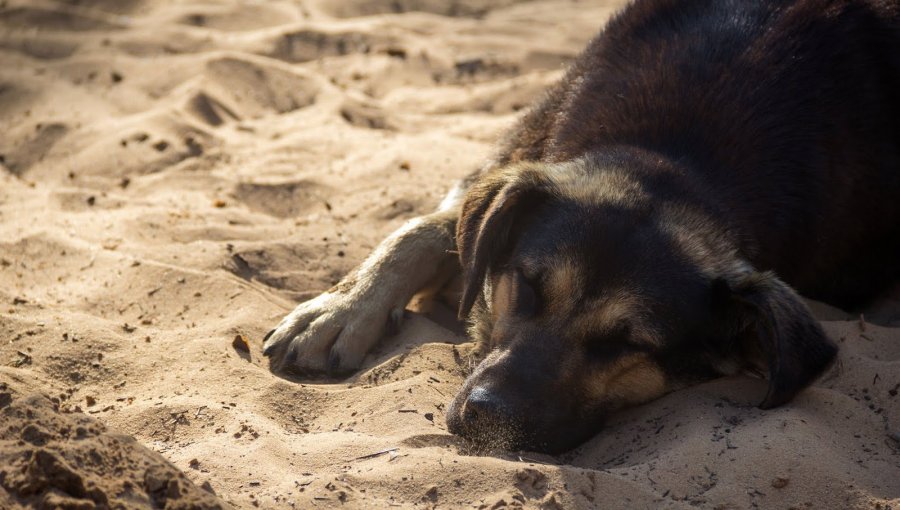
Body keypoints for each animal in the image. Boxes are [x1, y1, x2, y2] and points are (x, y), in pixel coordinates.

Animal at [262, 0, 900, 454]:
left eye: (628, 344)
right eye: (526, 287)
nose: (489, 422)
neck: (675, 159)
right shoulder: (514, 164)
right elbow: (423, 229)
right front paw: (340, 309)